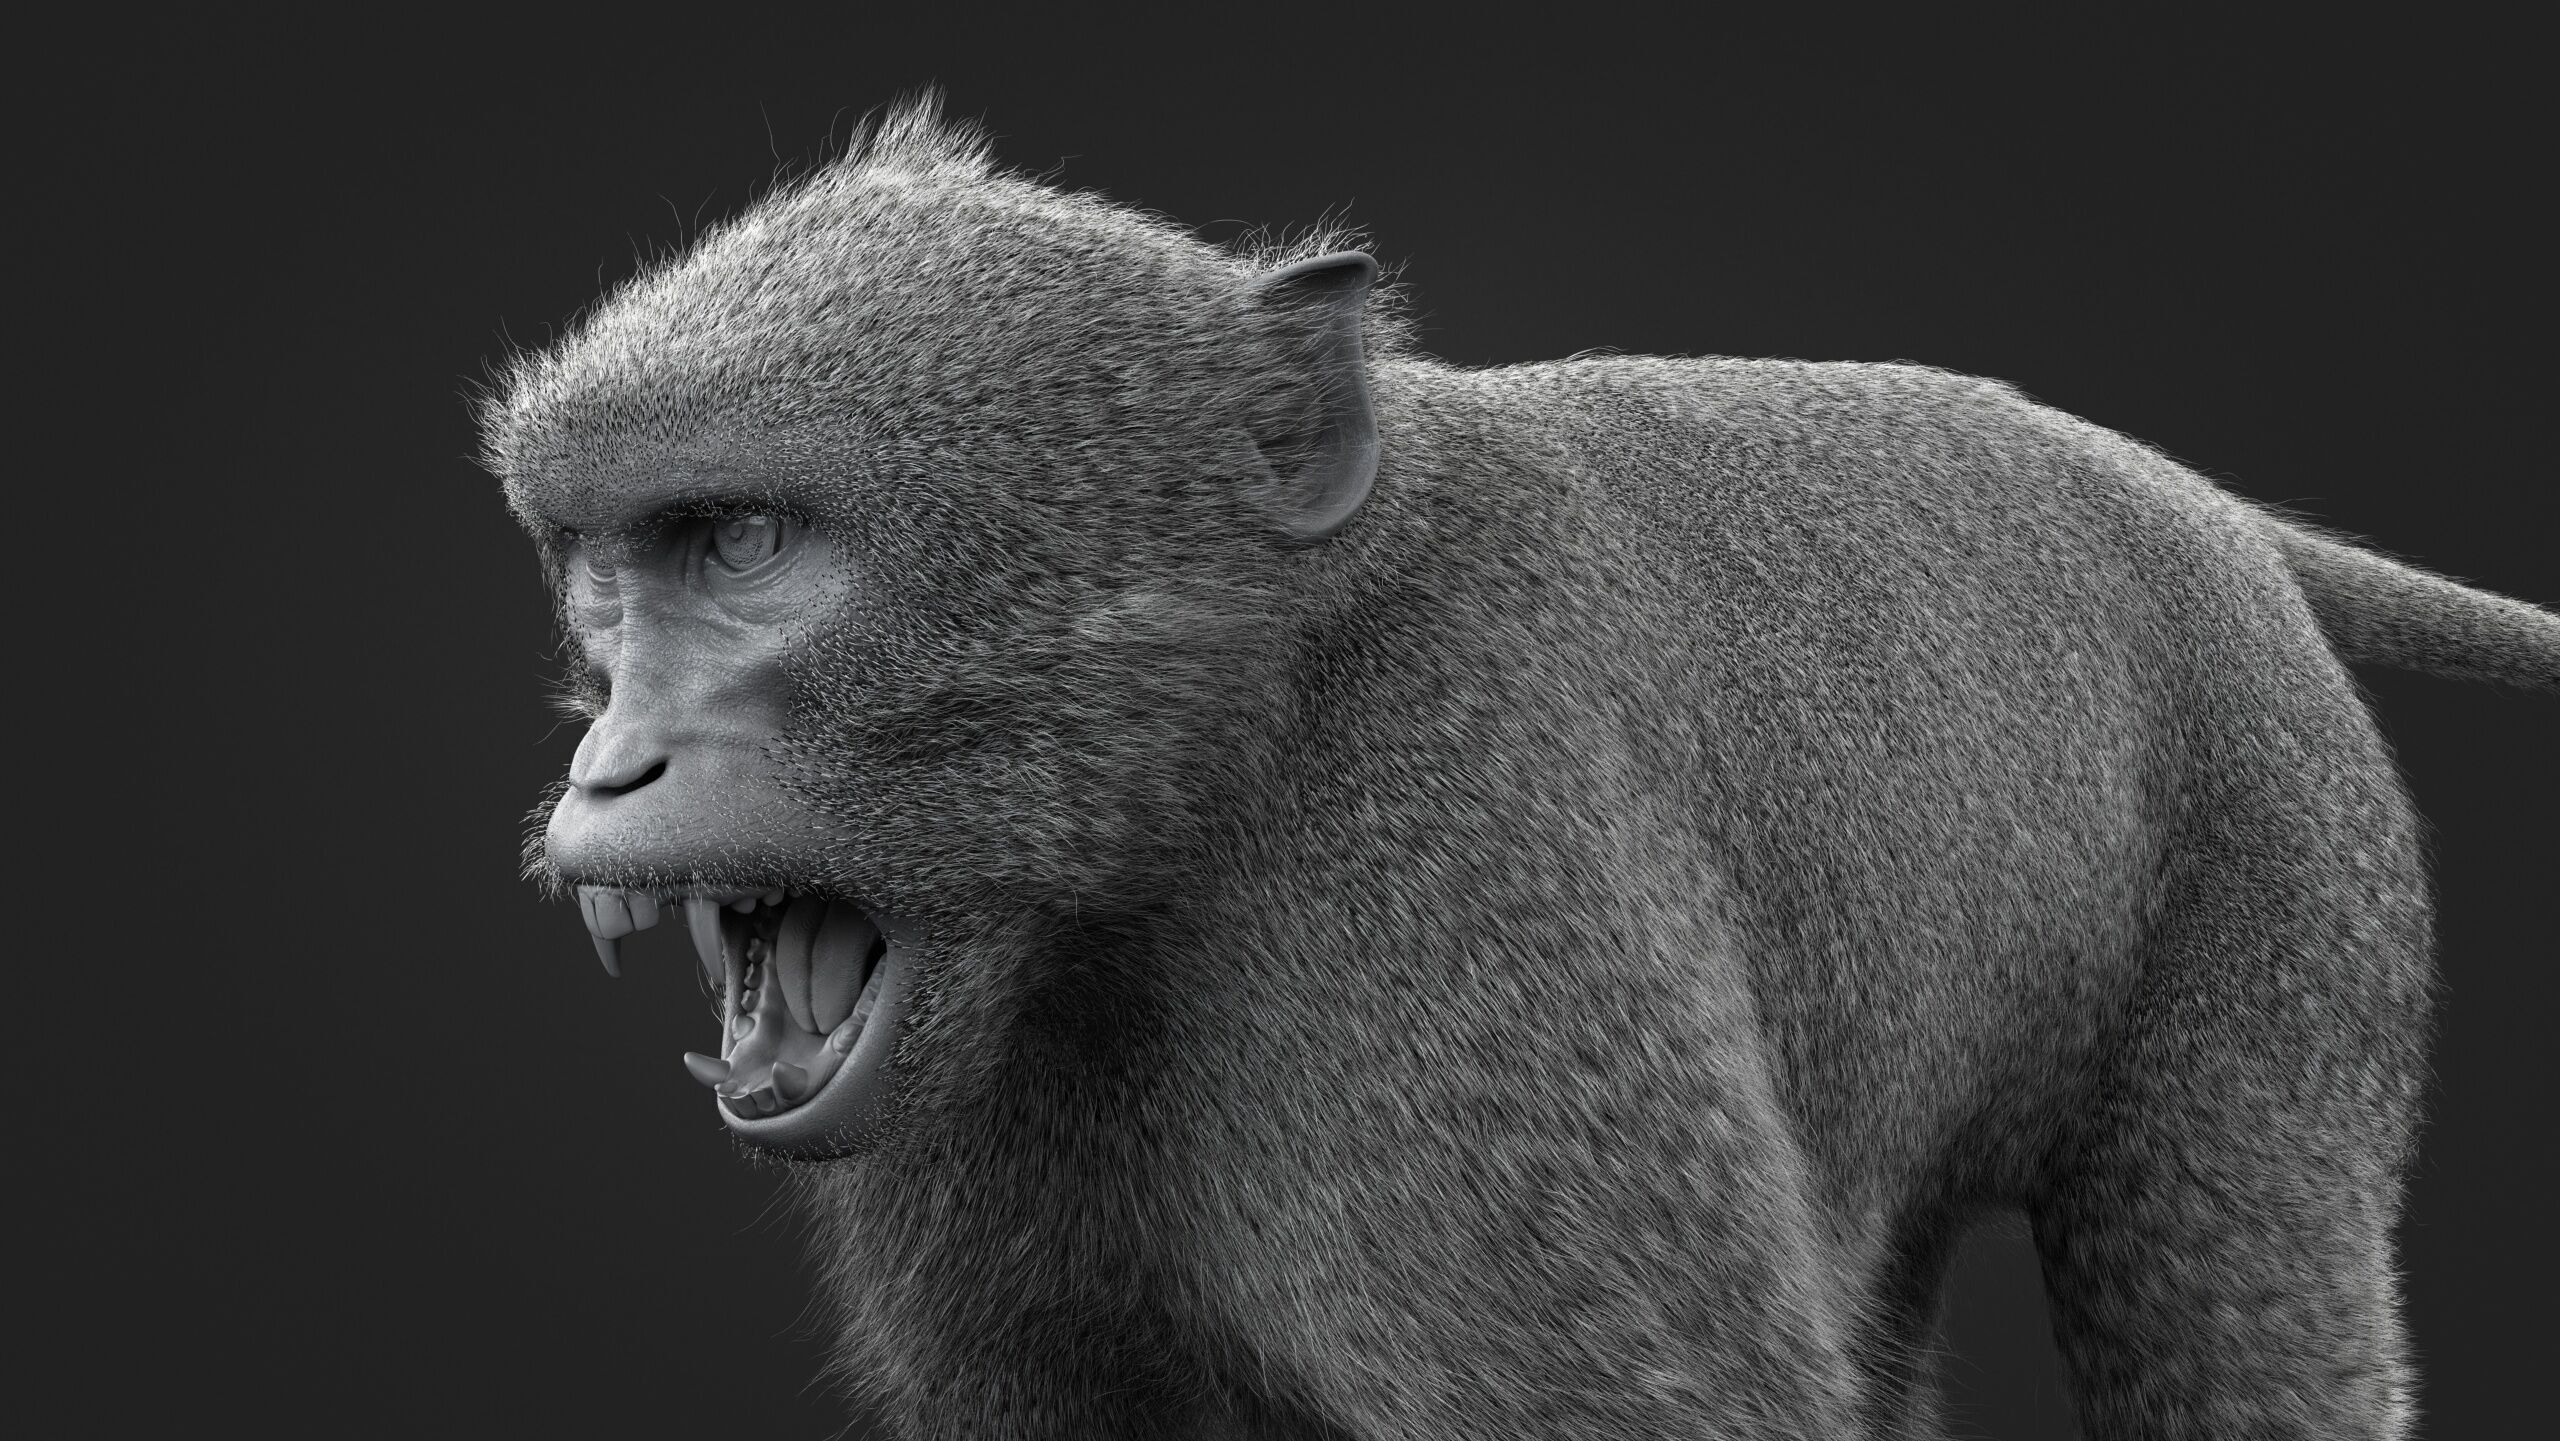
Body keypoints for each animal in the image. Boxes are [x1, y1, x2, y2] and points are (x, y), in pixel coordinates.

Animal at [480, 96, 2558, 1440]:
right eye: (609, 568)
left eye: (743, 544)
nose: (611, 763)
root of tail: (2198, 501)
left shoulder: (1458, 913)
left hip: (2279, 829)